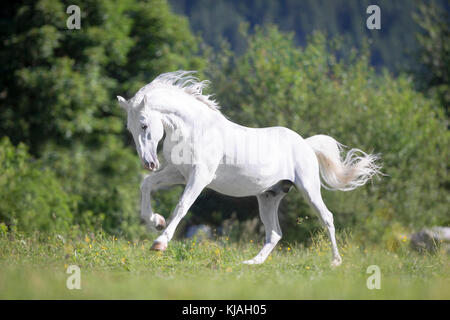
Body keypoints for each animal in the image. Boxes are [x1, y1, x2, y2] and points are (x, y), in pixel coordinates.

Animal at [117, 71, 380, 266]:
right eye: (130, 128)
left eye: (144, 124)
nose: (149, 163)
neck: (195, 129)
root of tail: (305, 144)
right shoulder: (178, 173)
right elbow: (147, 184)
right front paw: (156, 221)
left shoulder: (200, 177)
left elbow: (181, 206)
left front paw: (159, 242)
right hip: (269, 196)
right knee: (274, 233)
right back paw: (252, 263)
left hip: (309, 188)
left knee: (327, 218)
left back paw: (336, 261)